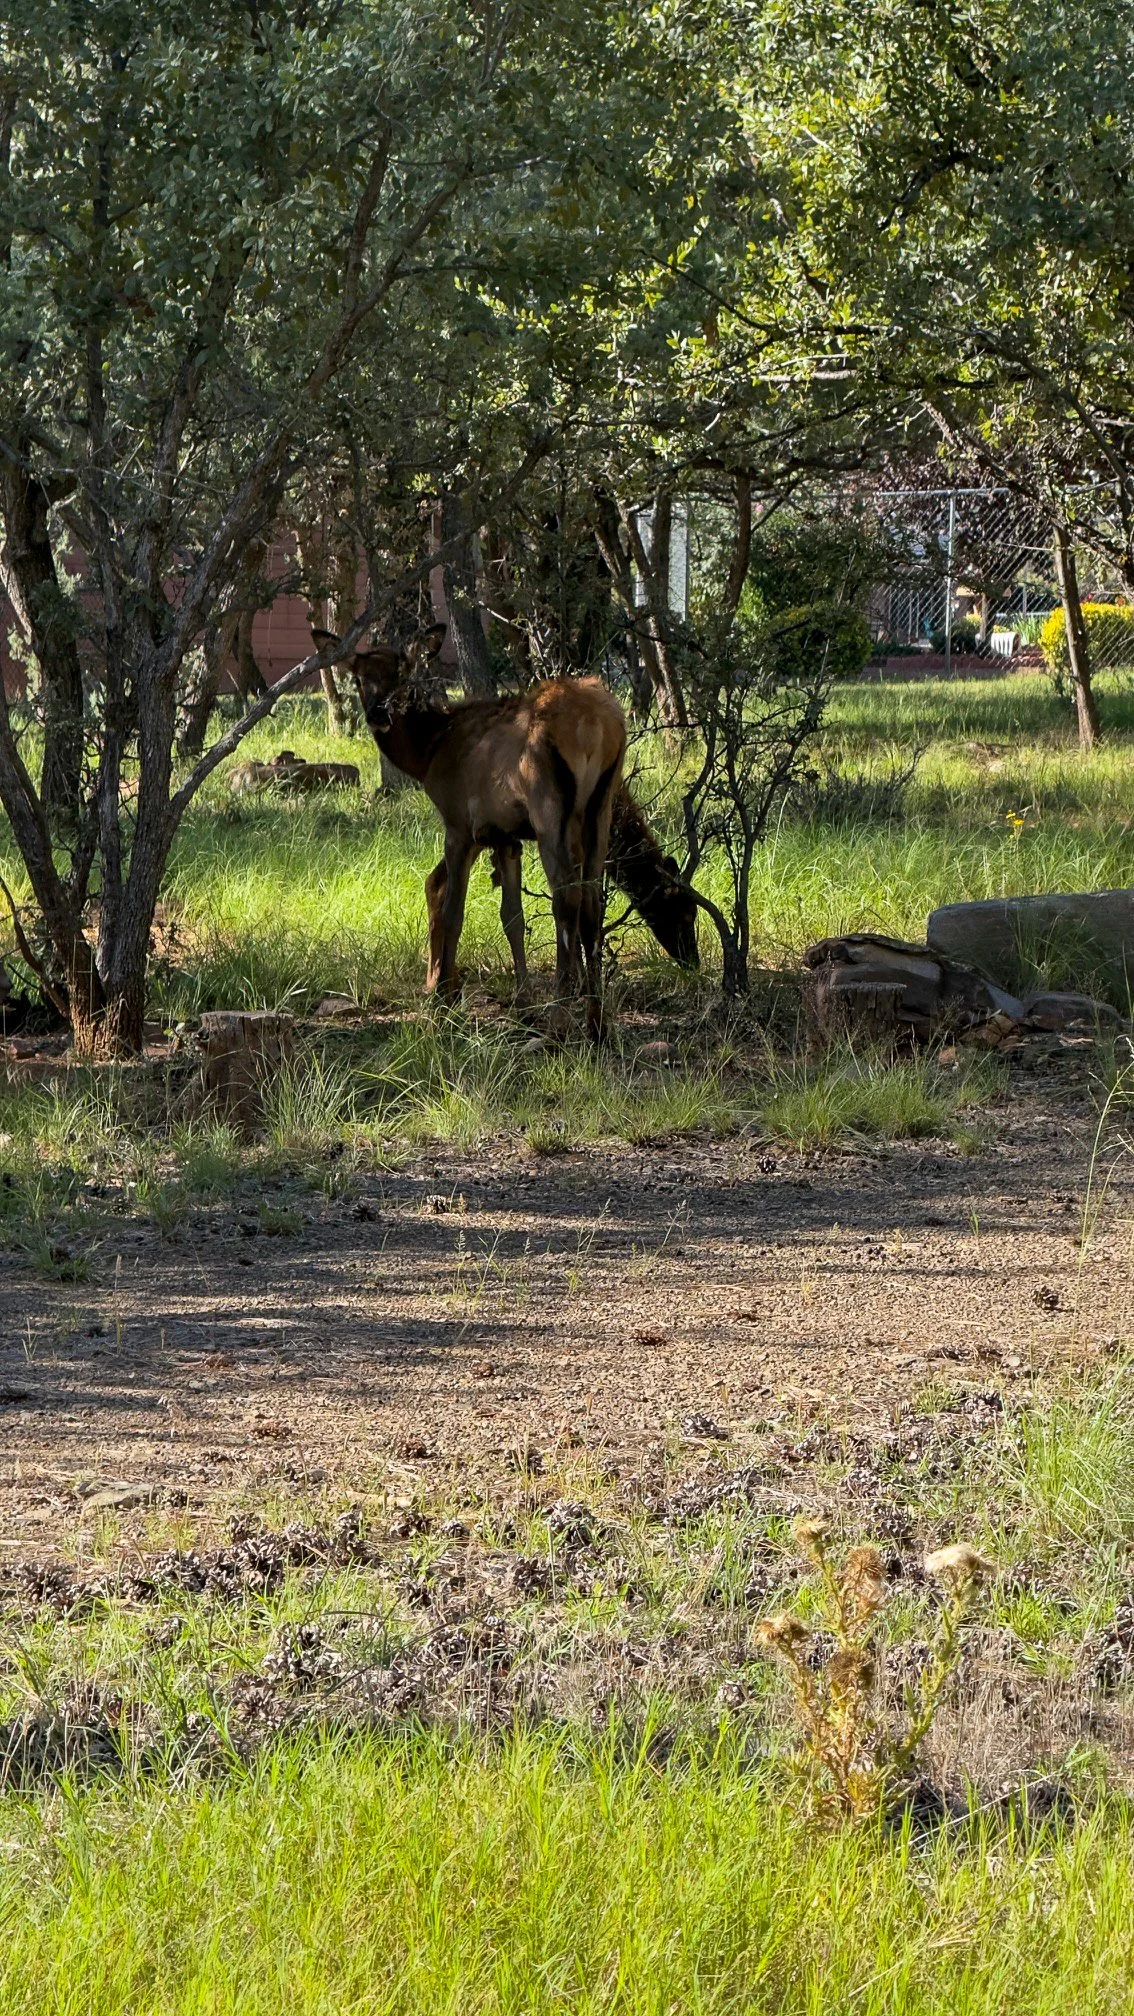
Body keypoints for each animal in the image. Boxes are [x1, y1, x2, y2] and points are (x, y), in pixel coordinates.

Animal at [313, 623, 626, 1031]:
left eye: (402, 674)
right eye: (359, 677)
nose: (379, 713)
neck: (429, 751)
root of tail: (595, 725)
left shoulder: (460, 824)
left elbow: (452, 909)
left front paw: (444, 1000)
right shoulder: (505, 836)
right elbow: (511, 915)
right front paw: (521, 1001)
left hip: (549, 808)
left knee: (566, 897)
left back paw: (560, 1012)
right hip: (601, 806)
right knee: (592, 899)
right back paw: (595, 1017)